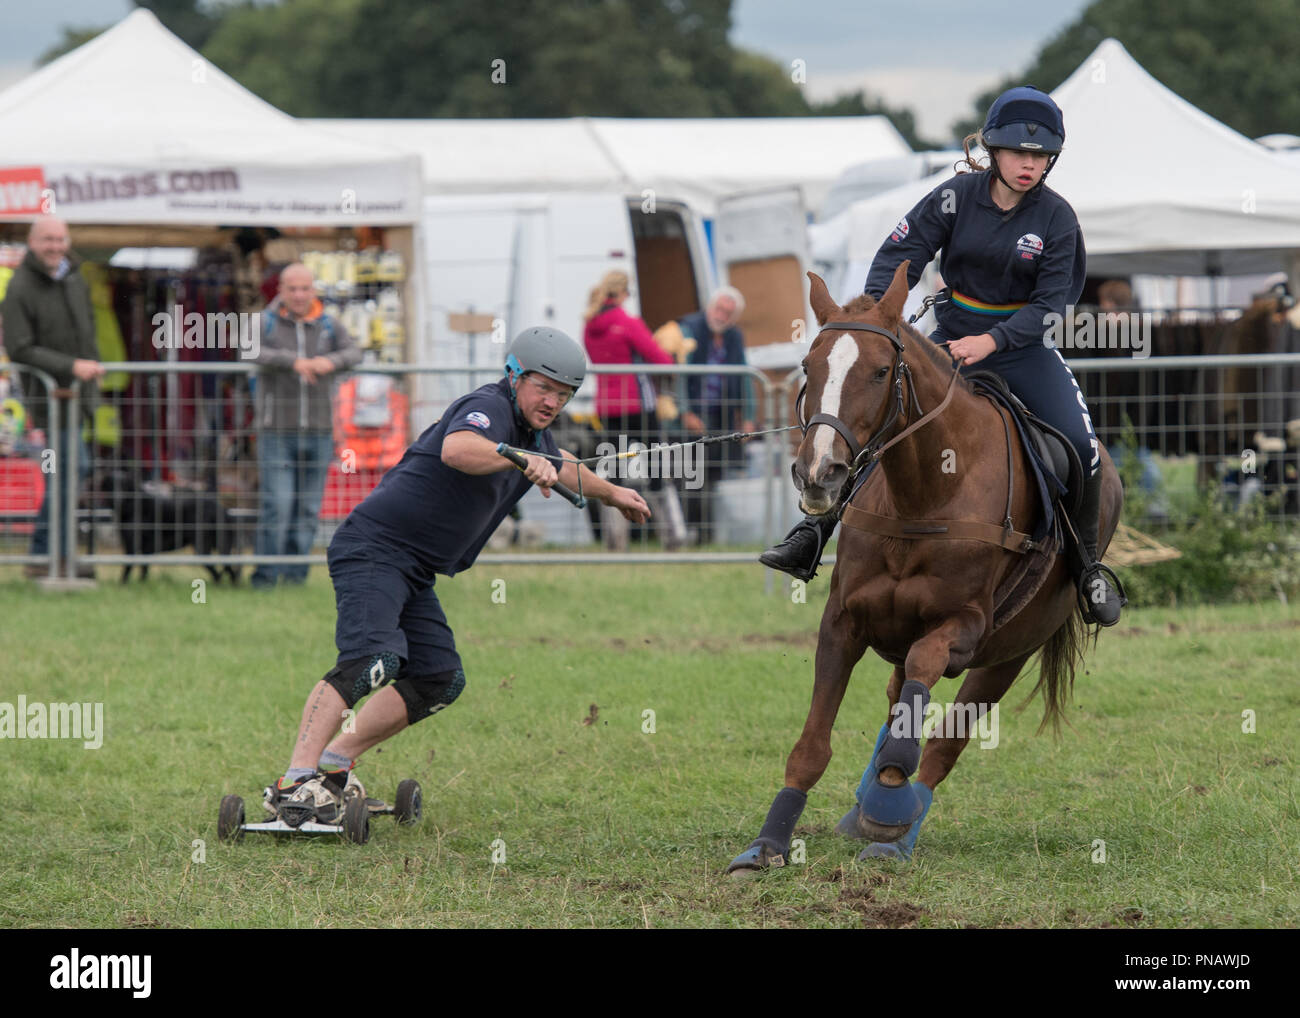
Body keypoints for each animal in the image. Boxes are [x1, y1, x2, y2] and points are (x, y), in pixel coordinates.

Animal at [728, 263, 1123, 872]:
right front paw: (768, 843)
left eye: (880, 370)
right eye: (808, 366)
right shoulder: (843, 621)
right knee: (900, 698)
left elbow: (925, 682)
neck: (925, 493)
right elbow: (813, 745)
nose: (818, 472)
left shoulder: (964, 628)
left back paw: (893, 831)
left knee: (942, 743)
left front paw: (891, 798)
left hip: (1008, 655)